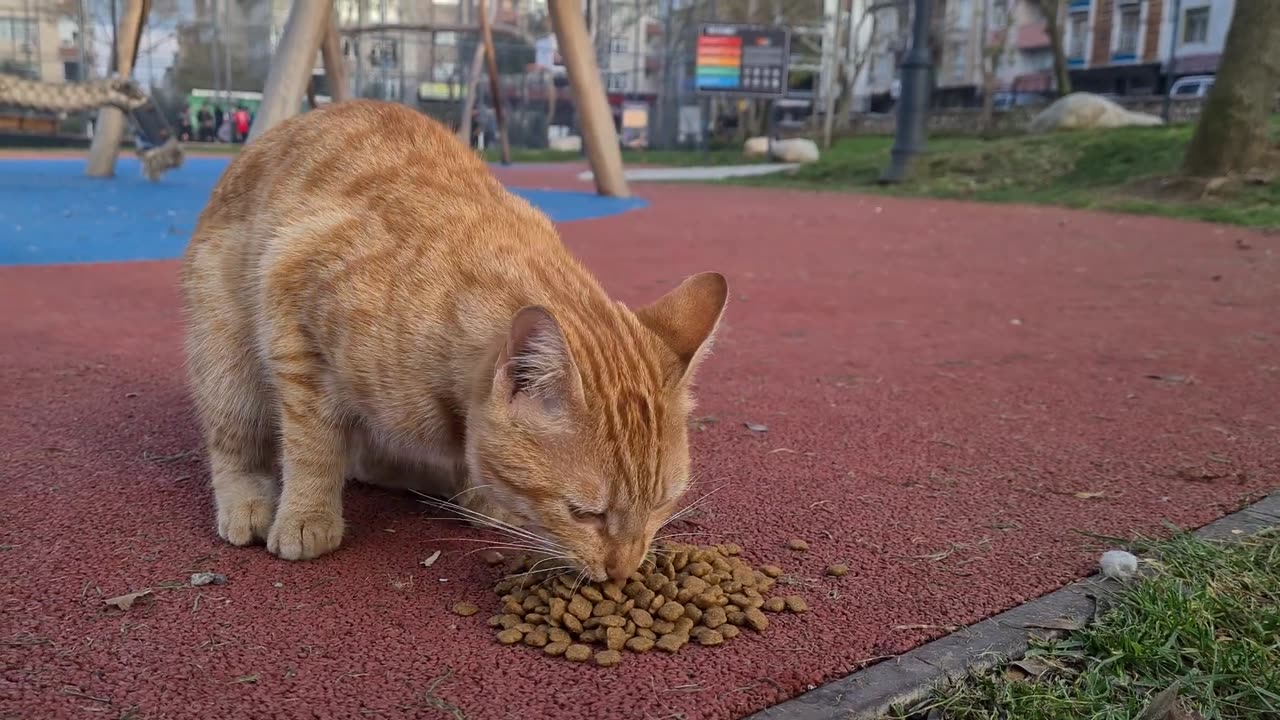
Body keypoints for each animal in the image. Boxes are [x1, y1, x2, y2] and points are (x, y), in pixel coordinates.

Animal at [179, 99, 727, 584]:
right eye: (583, 513)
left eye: (662, 504)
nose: (622, 572)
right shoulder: (294, 312)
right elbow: (311, 445)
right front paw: (307, 514)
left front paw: (483, 497)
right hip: (227, 357)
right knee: (237, 440)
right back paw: (249, 501)